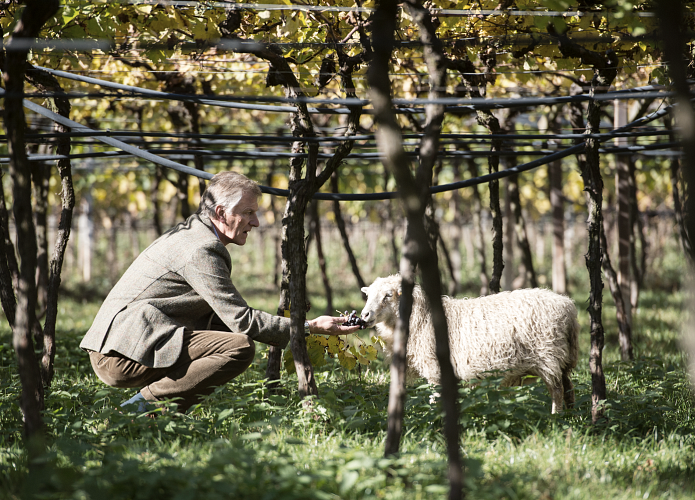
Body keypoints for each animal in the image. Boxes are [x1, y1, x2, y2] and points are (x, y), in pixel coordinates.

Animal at [362, 276, 580, 412]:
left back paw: (556, 416)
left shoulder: (435, 369)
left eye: (388, 295)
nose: (364, 315)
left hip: (548, 355)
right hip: (563, 357)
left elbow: (434, 398)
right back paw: (570, 417)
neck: (421, 316)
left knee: (557, 390)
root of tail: (568, 307)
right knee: (569, 388)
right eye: (368, 295)